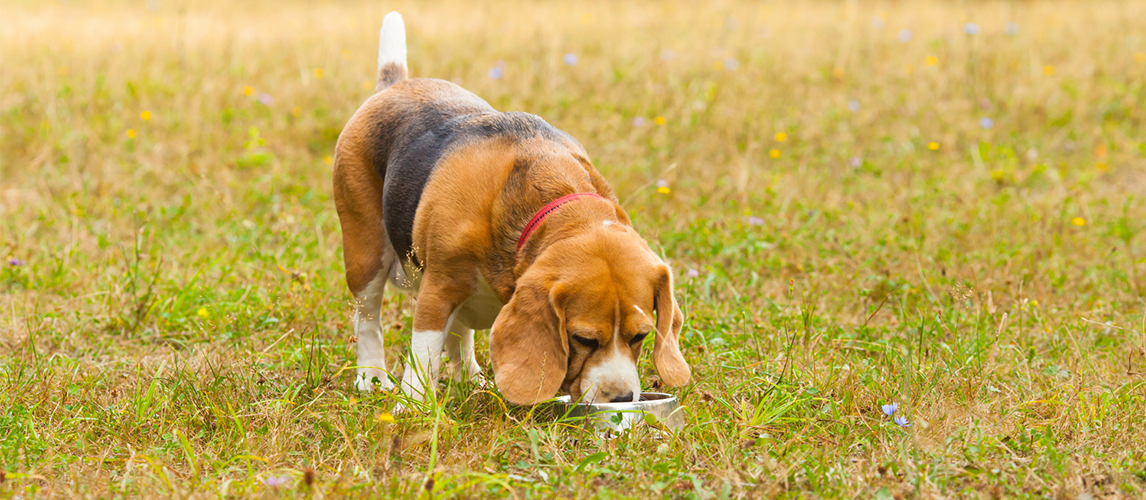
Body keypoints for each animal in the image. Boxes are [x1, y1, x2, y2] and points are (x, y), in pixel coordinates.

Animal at [332, 12, 687, 405]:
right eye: (583, 339)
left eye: (640, 336)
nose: (623, 399)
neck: (552, 201)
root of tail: (395, 84)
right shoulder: (437, 290)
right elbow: (424, 351)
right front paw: (413, 404)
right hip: (365, 255)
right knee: (369, 320)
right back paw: (371, 378)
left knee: (460, 333)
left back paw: (471, 379)